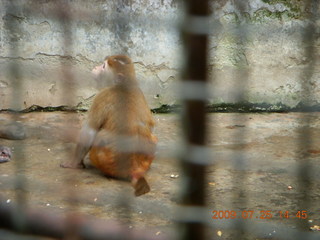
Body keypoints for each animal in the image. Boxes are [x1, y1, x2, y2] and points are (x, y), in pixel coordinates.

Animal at [60, 54, 157, 197]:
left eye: (103, 66)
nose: (96, 67)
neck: (123, 85)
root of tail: (134, 168)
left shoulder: (102, 96)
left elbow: (89, 132)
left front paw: (73, 163)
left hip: (103, 159)